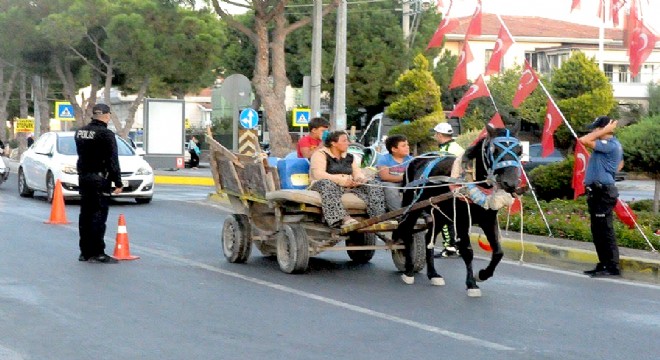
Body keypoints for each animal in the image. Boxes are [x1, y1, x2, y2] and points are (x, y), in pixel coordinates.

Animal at [392, 125, 524, 296]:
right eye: (494, 150)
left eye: (520, 151)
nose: (511, 183)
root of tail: (415, 158)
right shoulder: (462, 220)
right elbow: (467, 251)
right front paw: (471, 284)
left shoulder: (488, 220)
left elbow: (498, 252)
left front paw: (482, 274)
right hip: (413, 205)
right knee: (406, 230)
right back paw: (408, 271)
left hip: (440, 213)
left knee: (428, 238)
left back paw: (433, 274)